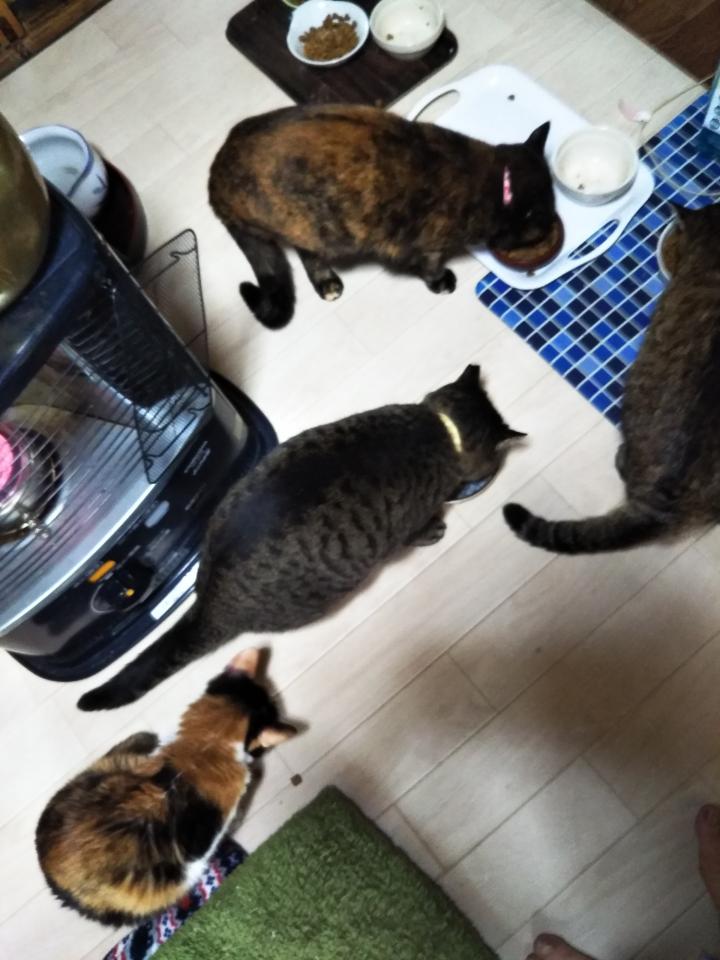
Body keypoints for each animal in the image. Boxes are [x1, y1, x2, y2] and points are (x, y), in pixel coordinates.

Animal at [208, 104, 554, 328]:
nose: (550, 227)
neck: (497, 183)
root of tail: (215, 181)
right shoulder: (427, 246)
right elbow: (430, 268)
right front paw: (441, 282)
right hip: (308, 225)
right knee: (307, 254)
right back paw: (327, 283)